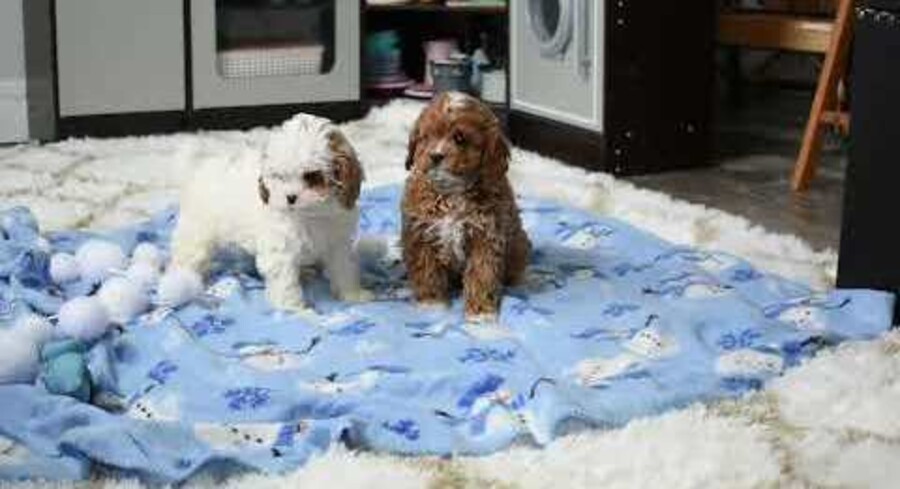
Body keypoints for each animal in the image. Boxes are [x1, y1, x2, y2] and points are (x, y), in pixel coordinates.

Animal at [170, 113, 369, 314]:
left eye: (312, 176)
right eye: (280, 177)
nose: (290, 197)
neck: (311, 214)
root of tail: (205, 166)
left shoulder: (338, 241)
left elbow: (344, 267)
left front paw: (353, 295)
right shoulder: (280, 247)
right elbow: (285, 281)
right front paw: (294, 309)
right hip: (198, 229)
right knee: (189, 254)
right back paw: (181, 280)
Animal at [401, 92, 531, 321]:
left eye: (459, 138)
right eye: (427, 137)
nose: (435, 156)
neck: (452, 193)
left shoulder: (486, 236)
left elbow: (482, 273)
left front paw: (480, 314)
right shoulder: (421, 234)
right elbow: (427, 271)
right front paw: (432, 305)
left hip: (519, 244)